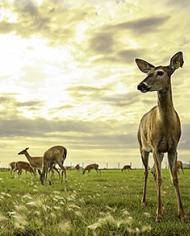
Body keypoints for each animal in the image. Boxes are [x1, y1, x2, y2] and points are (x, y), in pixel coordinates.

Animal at [136, 51, 186, 221]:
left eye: (160, 72)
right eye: (147, 73)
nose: (141, 85)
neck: (165, 126)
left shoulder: (173, 148)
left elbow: (174, 178)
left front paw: (182, 214)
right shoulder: (155, 146)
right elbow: (159, 178)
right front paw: (158, 215)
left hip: (160, 152)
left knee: (152, 171)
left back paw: (163, 206)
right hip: (143, 148)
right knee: (147, 172)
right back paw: (145, 202)